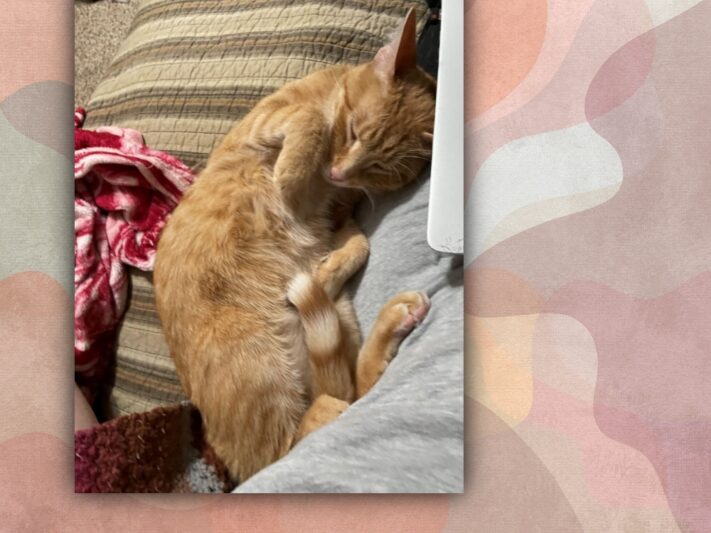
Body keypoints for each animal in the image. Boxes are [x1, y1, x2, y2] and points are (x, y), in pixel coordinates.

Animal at [153, 8, 436, 482]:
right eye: (353, 131)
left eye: (379, 169)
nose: (338, 173)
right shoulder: (264, 122)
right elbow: (308, 120)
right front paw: (288, 176)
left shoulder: (340, 219)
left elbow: (360, 245)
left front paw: (327, 268)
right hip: (256, 360)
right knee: (290, 441)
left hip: (336, 317)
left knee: (349, 391)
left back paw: (393, 320)